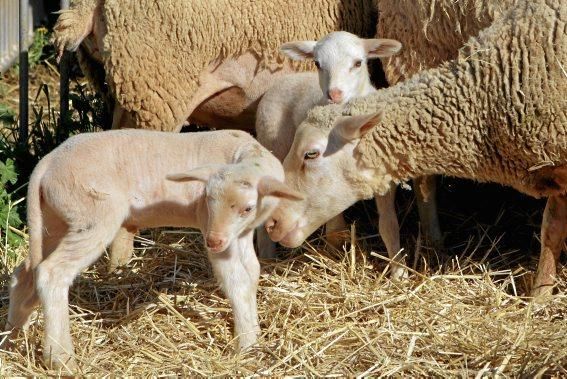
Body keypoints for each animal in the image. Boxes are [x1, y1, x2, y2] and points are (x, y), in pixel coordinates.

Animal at [4, 130, 304, 372]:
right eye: (207, 200)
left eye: (247, 208)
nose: (212, 242)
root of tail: (46, 163)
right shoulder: (217, 230)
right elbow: (237, 282)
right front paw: (246, 343)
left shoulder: (239, 234)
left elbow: (252, 273)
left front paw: (254, 336)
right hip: (92, 213)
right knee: (52, 273)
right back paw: (61, 358)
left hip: (55, 218)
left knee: (25, 273)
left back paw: (11, 339)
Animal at [255, 30, 406, 280]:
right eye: (318, 63)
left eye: (358, 63)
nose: (334, 94)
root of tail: (284, 80)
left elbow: (389, 224)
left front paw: (399, 270)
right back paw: (267, 257)